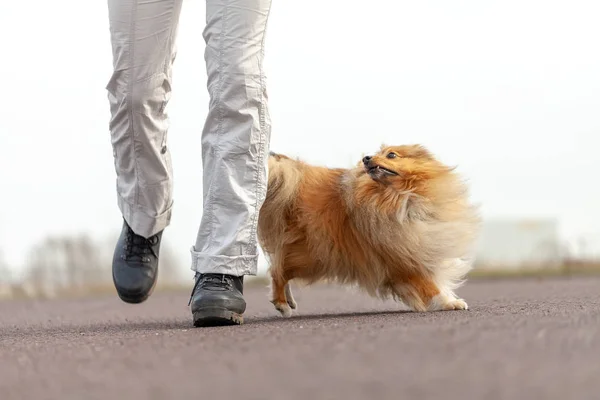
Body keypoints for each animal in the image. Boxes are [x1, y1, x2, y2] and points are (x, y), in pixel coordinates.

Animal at [255, 145, 480, 318]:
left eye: (391, 155)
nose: (366, 158)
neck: (399, 196)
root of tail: (292, 180)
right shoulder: (403, 258)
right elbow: (429, 286)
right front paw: (450, 303)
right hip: (313, 255)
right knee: (277, 271)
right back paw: (282, 305)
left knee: (279, 266)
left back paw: (289, 301)